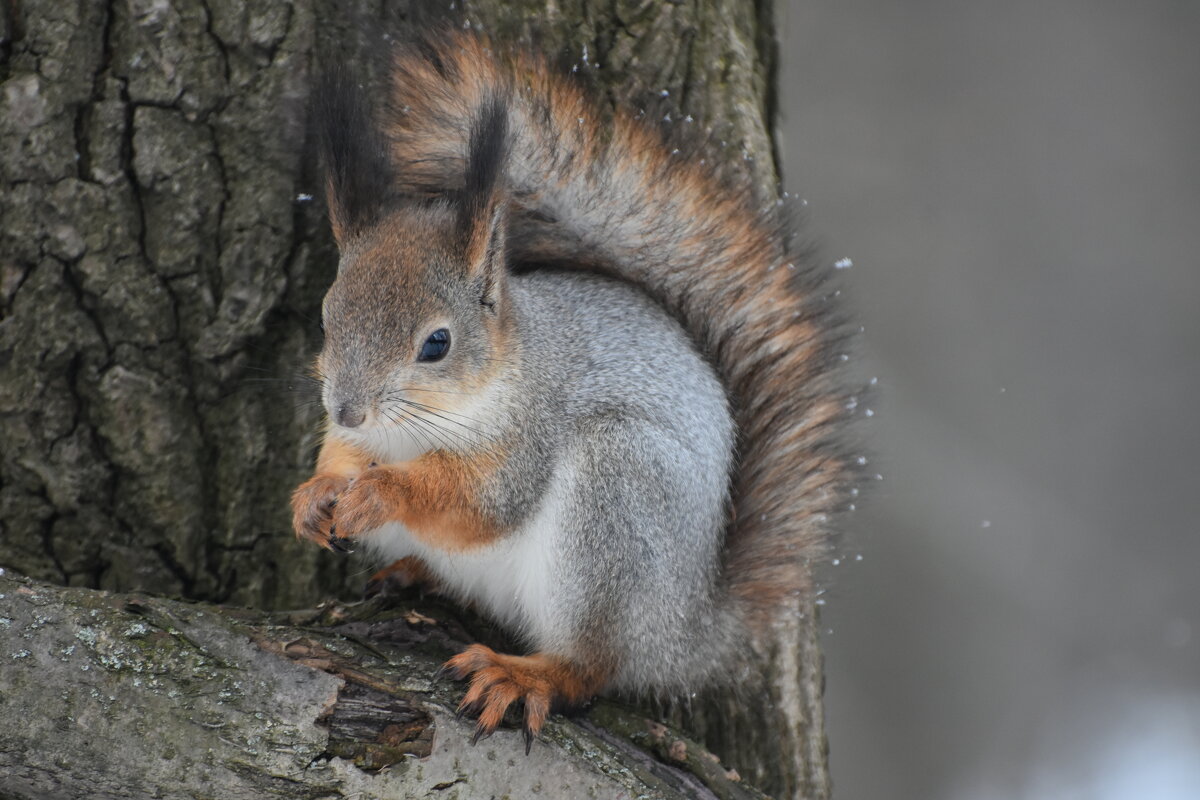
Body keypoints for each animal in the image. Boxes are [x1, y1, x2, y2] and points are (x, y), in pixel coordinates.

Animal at [289, 26, 854, 753]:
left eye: (436, 343)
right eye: (327, 317)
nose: (348, 408)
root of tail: (686, 632)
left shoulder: (526, 441)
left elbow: (478, 502)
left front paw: (384, 491)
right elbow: (340, 457)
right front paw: (316, 495)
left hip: (612, 507)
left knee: (591, 664)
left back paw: (525, 675)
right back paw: (413, 573)